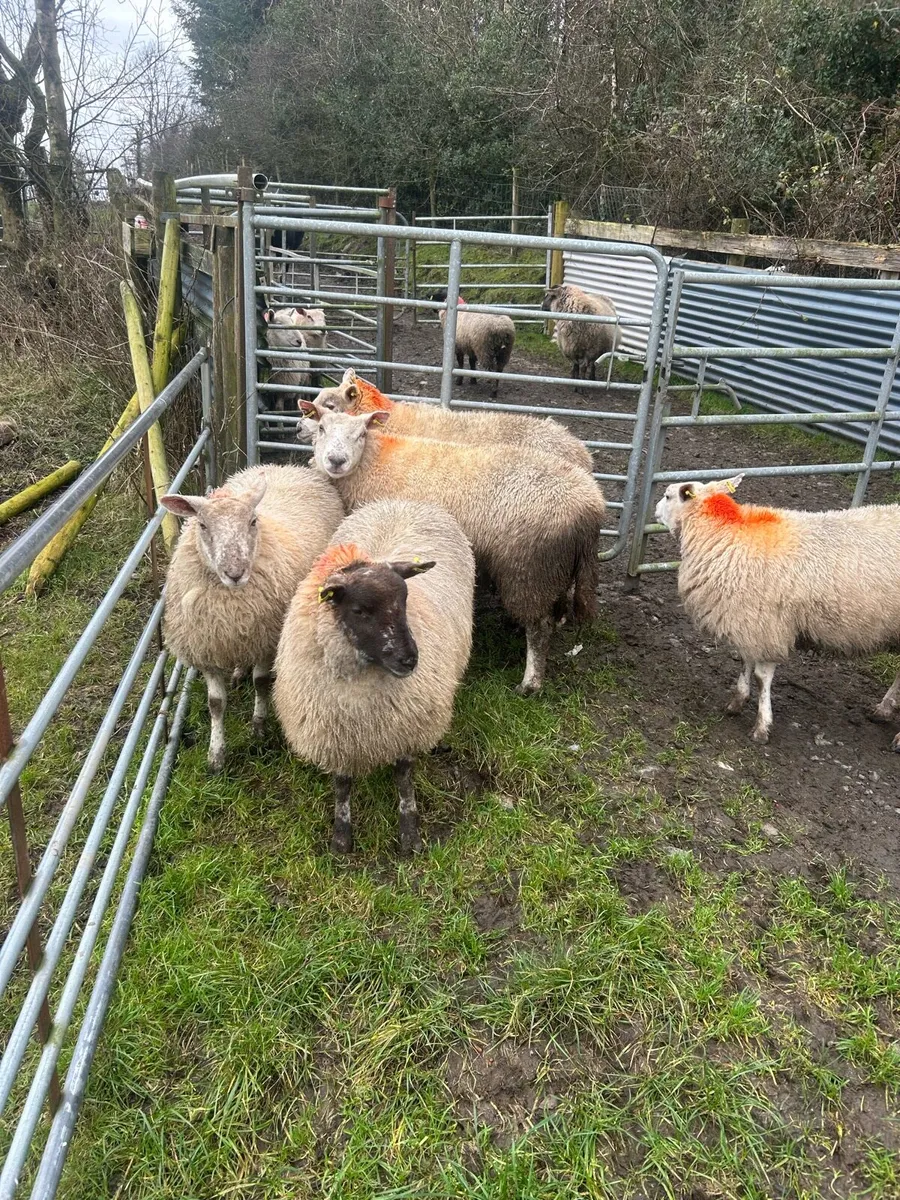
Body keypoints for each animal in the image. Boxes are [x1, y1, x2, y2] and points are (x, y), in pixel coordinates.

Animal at [161, 464, 344, 772]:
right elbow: (215, 703)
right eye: (202, 525)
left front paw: (258, 728)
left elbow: (261, 683)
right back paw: (238, 672)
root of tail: (282, 467)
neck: (231, 605)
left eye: (253, 521)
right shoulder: (208, 648)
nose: (235, 573)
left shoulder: (265, 641)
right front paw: (216, 755)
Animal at [274, 498, 475, 855]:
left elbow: (404, 778)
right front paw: (341, 837)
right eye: (359, 611)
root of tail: (405, 501)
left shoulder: (405, 727)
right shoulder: (335, 736)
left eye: (405, 600)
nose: (410, 660)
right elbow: (341, 785)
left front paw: (410, 833)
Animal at [305, 406, 606, 694]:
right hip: (555, 567)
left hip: (529, 569)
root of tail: (590, 508)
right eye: (321, 428)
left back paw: (530, 683)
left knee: (539, 627)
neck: (373, 462)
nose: (336, 461)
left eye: (361, 434)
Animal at [655, 474, 900, 747]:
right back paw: (883, 710)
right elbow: (745, 661)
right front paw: (737, 702)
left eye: (667, 496)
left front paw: (762, 726)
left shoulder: (767, 624)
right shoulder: (749, 621)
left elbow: (762, 677)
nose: (654, 510)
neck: (726, 531)